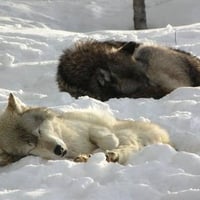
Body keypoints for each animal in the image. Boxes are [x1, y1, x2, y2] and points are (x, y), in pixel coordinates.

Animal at [0, 94, 171, 166]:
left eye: (39, 131)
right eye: (31, 148)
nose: (59, 150)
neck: (71, 143)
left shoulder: (90, 125)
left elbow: (104, 136)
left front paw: (106, 144)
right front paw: (86, 156)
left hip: (127, 133)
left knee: (128, 146)